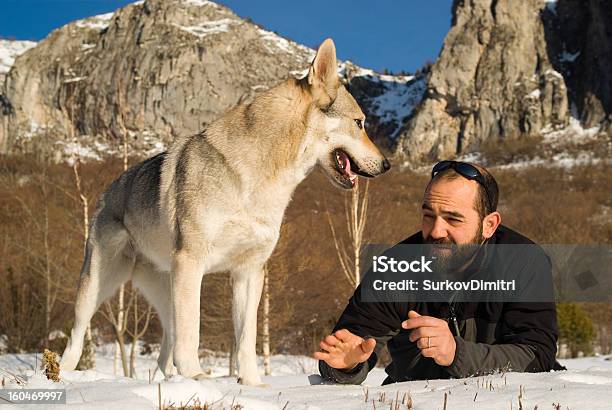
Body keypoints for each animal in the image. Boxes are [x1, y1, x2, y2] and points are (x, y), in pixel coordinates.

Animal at [61, 37, 388, 384]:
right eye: (359, 123)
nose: (387, 165)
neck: (260, 179)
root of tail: (107, 190)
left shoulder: (249, 271)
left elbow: (245, 339)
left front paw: (253, 384)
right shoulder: (192, 262)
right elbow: (193, 332)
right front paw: (196, 376)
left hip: (165, 291)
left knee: (167, 343)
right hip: (99, 284)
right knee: (78, 335)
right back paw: (63, 375)